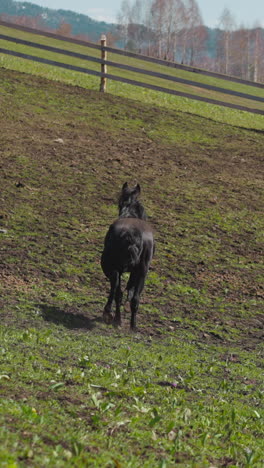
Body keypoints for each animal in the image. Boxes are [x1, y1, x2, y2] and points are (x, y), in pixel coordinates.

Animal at [101, 183, 155, 330]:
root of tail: (130, 234)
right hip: (142, 271)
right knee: (134, 298)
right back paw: (132, 326)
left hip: (111, 266)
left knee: (117, 290)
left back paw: (111, 315)